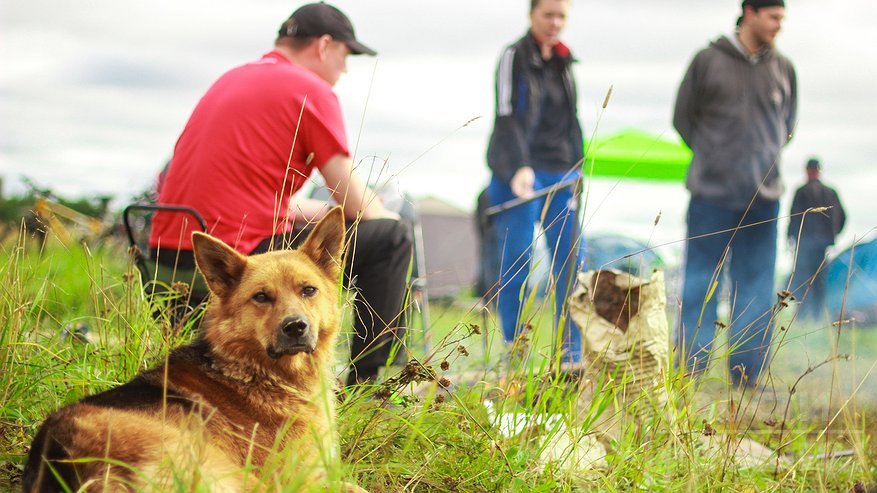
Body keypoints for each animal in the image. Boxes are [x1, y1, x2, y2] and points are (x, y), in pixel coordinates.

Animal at [24, 206, 364, 490]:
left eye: (308, 290)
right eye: (261, 297)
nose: (295, 327)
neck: (254, 371)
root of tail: (64, 458)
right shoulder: (304, 479)